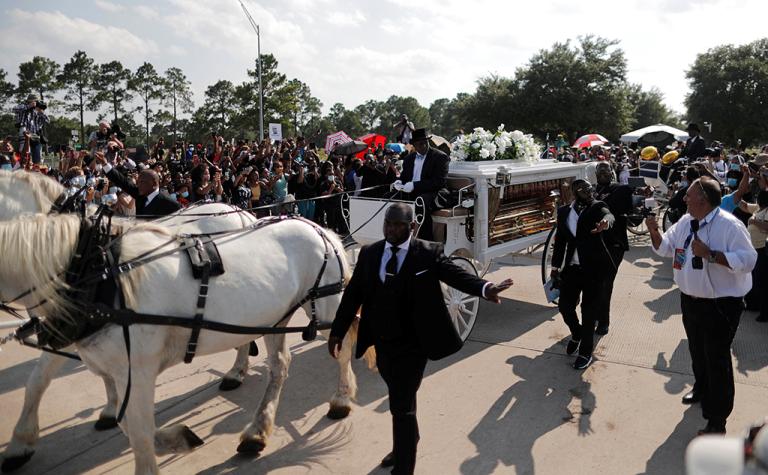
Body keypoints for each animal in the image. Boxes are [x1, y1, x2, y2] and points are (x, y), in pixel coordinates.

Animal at [0, 173, 364, 474]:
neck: (97, 272)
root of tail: (319, 228)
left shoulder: (136, 369)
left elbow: (138, 432)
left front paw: (20, 442)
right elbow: (121, 418)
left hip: (327, 309)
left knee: (342, 344)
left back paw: (341, 399)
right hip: (275, 316)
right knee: (279, 365)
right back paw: (256, 429)